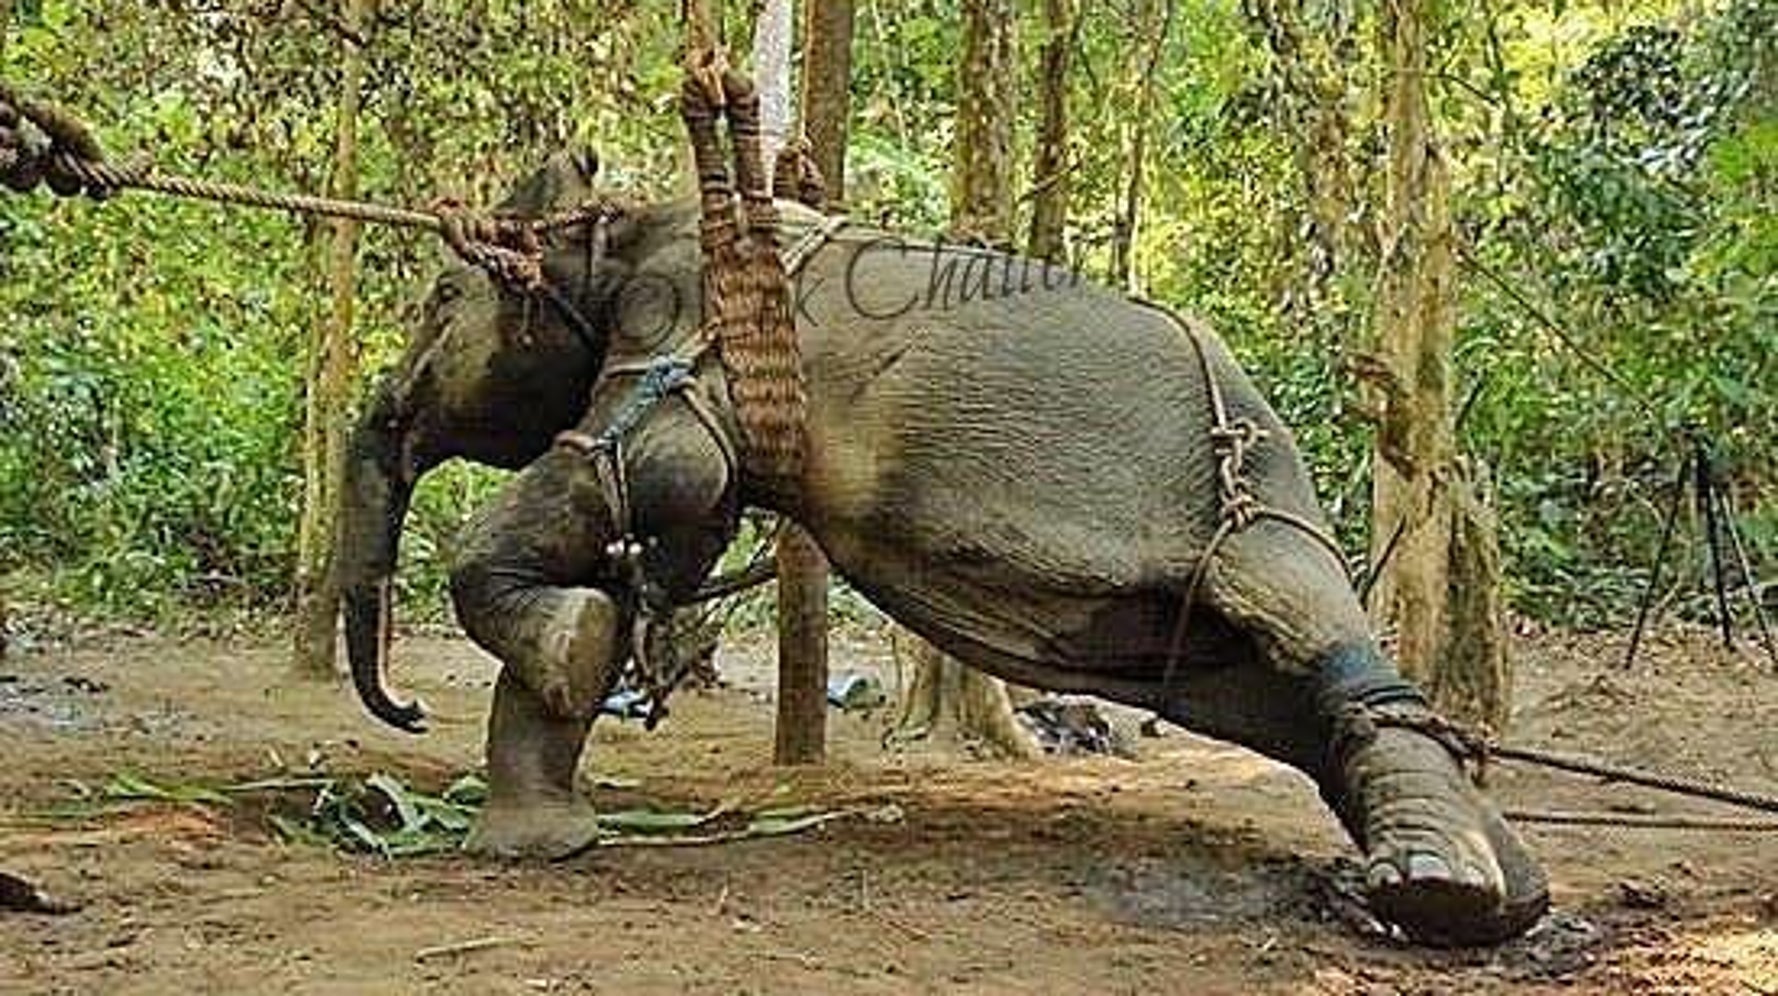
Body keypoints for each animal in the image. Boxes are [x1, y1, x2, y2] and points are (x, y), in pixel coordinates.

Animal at [344, 164, 1549, 947]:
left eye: (438, 301)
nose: (406, 710)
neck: (627, 220)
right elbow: (668, 532)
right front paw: (541, 832)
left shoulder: (679, 339)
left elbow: (654, 478)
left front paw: (566, 649)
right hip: (1192, 611)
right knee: (1283, 699)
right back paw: (1506, 895)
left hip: (1254, 511)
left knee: (1313, 641)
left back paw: (1438, 889)